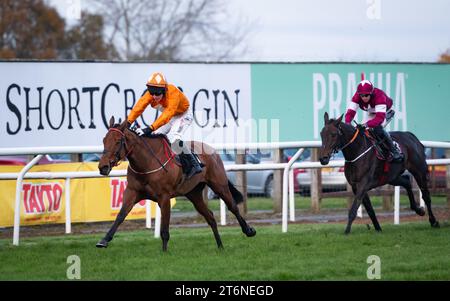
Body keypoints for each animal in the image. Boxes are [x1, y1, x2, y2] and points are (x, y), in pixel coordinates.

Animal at [96, 116, 255, 250]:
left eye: (118, 141)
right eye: (104, 140)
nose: (103, 167)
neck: (147, 163)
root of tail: (213, 151)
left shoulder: (164, 197)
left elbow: (165, 229)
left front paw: (164, 253)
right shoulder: (132, 192)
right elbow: (121, 215)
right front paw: (104, 240)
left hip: (219, 185)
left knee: (233, 206)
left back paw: (248, 231)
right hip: (194, 194)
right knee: (210, 216)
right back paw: (220, 246)